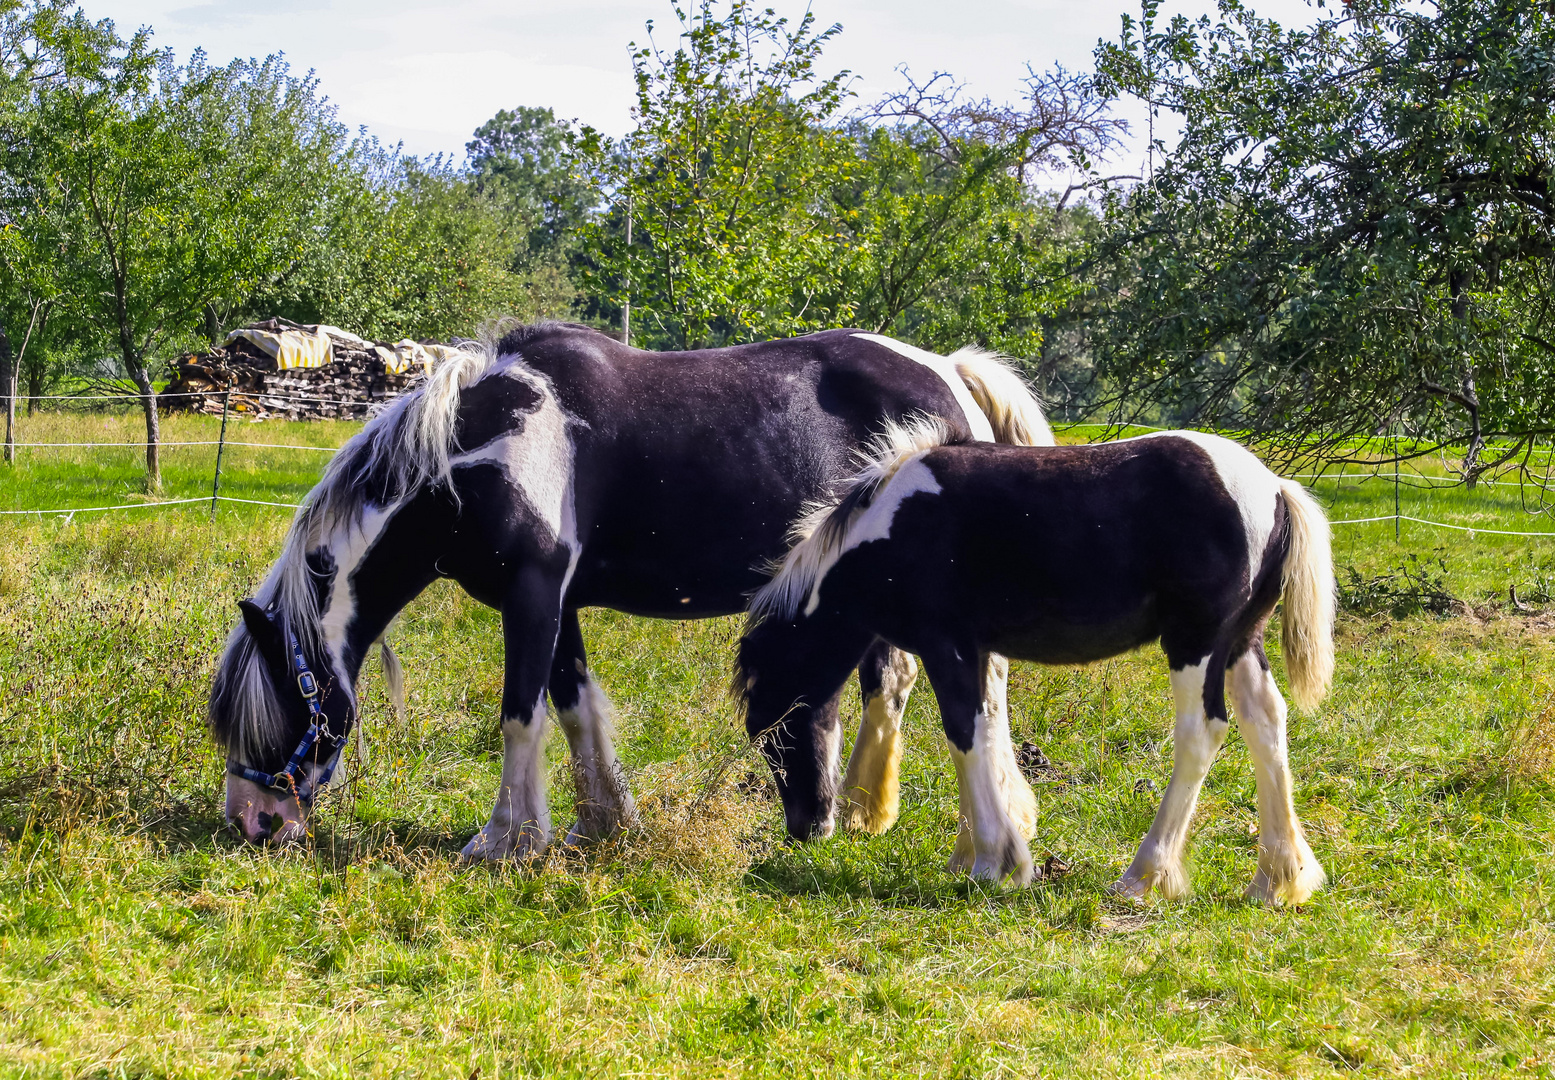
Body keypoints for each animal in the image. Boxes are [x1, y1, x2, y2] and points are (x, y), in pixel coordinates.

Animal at [209, 324, 1057, 857]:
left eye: (277, 709)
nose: (252, 825)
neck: (474, 455)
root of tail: (949, 372)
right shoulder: (557, 604)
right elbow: (575, 708)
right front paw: (601, 825)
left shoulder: (532, 596)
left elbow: (521, 716)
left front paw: (503, 840)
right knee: (893, 679)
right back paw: (862, 812)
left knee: (953, 686)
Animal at [733, 422, 1331, 901]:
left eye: (776, 729)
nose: (807, 827)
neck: (894, 529)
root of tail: (1276, 489)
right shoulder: (976, 649)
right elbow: (987, 730)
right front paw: (975, 852)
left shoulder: (945, 643)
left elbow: (964, 732)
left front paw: (994, 863)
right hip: (1240, 641)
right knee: (1265, 721)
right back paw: (1278, 879)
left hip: (1195, 642)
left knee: (1202, 732)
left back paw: (1144, 877)